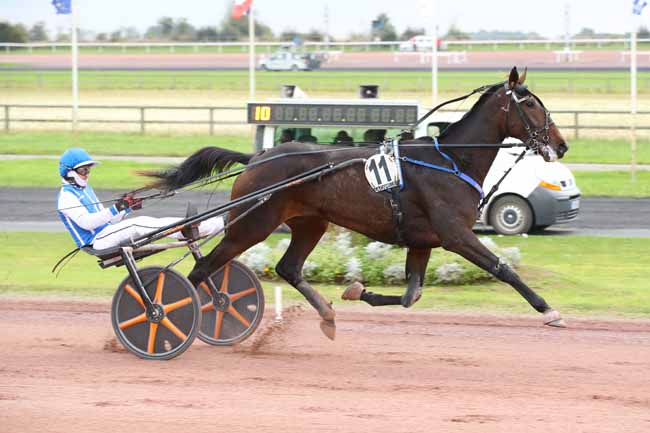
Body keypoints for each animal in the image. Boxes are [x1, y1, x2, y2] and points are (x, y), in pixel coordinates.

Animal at [146, 66, 568, 338]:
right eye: (530, 104)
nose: (561, 145)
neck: (450, 160)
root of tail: (259, 157)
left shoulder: (422, 240)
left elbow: (411, 295)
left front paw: (355, 291)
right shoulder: (455, 235)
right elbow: (502, 268)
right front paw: (549, 311)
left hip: (309, 223)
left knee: (288, 268)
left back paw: (326, 315)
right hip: (252, 223)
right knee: (202, 270)